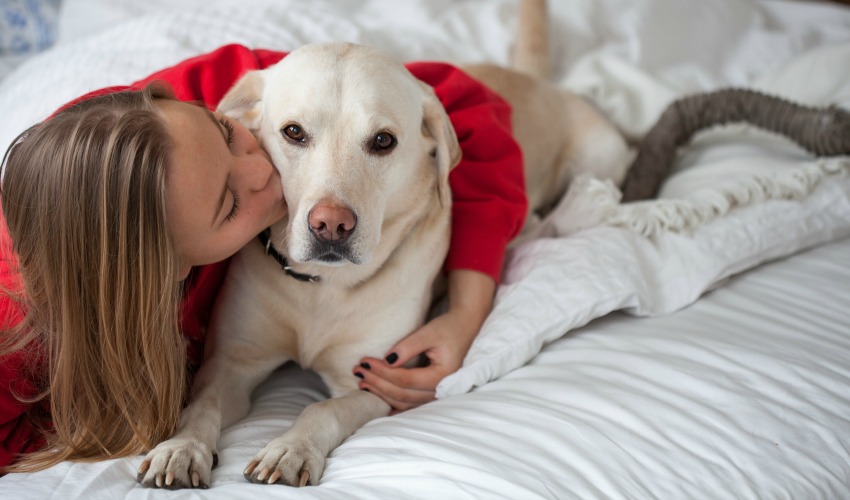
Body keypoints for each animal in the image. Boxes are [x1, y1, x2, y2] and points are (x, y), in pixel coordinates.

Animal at [139, 0, 628, 488]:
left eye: (383, 141)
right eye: (293, 132)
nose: (330, 226)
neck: (321, 288)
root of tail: (535, 80)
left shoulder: (374, 383)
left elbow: (322, 410)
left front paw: (292, 448)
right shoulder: (231, 363)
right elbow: (200, 404)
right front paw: (180, 448)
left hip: (602, 155)